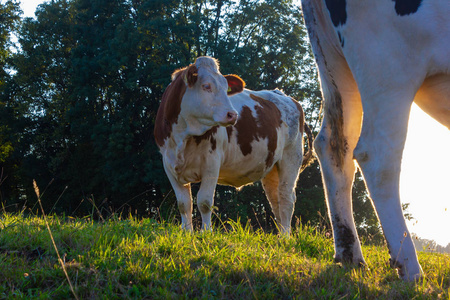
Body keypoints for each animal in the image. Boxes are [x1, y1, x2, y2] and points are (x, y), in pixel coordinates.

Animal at [154, 56, 312, 234]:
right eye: (206, 86)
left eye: (225, 87)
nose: (233, 114)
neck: (183, 136)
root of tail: (286, 97)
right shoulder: (168, 163)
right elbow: (184, 204)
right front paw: (187, 233)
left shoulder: (211, 162)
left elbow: (204, 202)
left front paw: (206, 233)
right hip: (271, 167)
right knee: (275, 200)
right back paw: (280, 235)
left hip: (291, 157)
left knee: (286, 198)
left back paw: (285, 236)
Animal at [300, 0, 448, 282]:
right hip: (389, 67)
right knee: (377, 156)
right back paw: (410, 267)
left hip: (333, 61)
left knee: (333, 144)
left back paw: (350, 256)